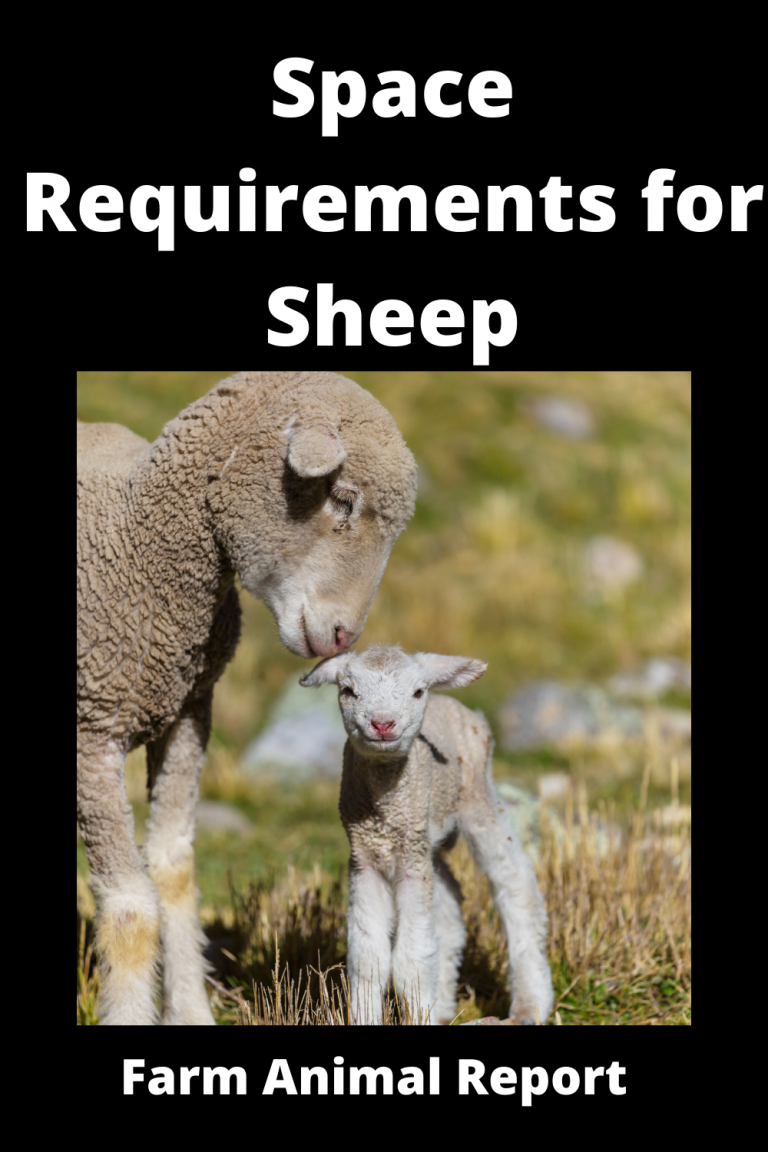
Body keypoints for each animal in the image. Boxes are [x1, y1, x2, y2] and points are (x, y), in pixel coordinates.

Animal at [77, 372, 418, 1025]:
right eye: (342, 500)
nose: (344, 635)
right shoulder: (90, 731)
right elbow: (131, 905)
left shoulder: (189, 712)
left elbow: (173, 871)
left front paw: (190, 1010)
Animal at [301, 645, 554, 1025]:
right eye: (347, 691)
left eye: (418, 692)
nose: (383, 724)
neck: (385, 812)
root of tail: (455, 703)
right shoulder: (365, 858)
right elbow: (368, 958)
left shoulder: (410, 861)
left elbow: (411, 959)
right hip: (428, 839)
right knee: (449, 902)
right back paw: (444, 1005)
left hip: (477, 797)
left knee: (514, 882)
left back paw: (530, 1003)